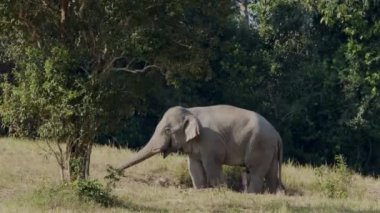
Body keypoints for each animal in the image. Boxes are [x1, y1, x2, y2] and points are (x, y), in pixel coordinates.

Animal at [117, 104, 284, 193]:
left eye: (167, 130)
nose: (115, 171)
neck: (191, 111)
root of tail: (277, 134)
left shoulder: (210, 141)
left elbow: (211, 165)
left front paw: (219, 190)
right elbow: (194, 166)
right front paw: (200, 190)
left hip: (260, 145)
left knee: (256, 172)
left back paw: (251, 194)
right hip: (270, 150)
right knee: (271, 173)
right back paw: (271, 194)